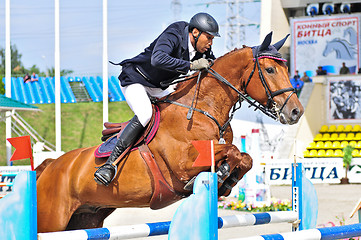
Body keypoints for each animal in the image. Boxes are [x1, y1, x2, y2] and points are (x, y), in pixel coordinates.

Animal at [36, 31, 302, 232]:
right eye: (270, 70)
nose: (296, 112)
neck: (203, 108)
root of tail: (50, 165)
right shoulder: (183, 165)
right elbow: (233, 151)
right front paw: (222, 173)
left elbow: (245, 157)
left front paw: (226, 180)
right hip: (53, 221)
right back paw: (105, 171)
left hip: (86, 218)